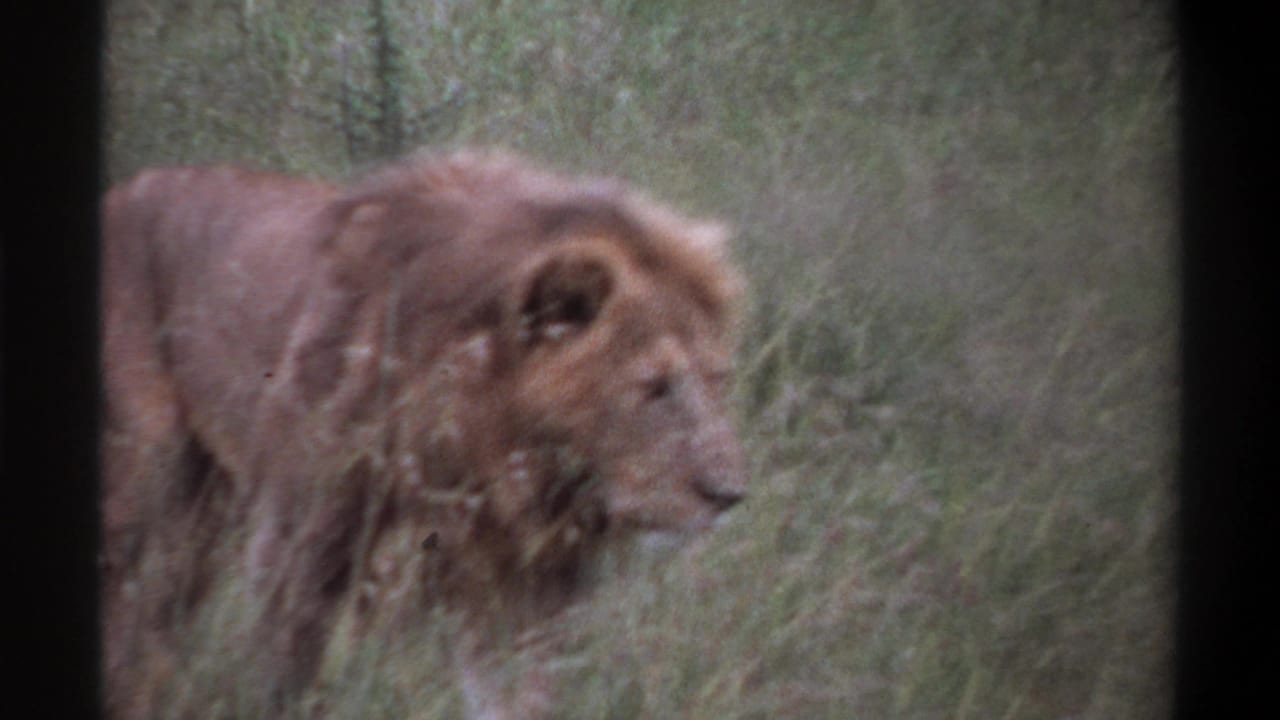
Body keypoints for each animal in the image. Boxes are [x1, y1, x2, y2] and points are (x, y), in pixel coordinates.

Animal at [100, 149, 748, 718]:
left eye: (718, 379)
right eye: (655, 388)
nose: (729, 495)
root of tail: (124, 189)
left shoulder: (523, 594)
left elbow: (517, 700)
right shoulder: (301, 549)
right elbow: (285, 684)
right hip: (151, 493)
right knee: (133, 624)